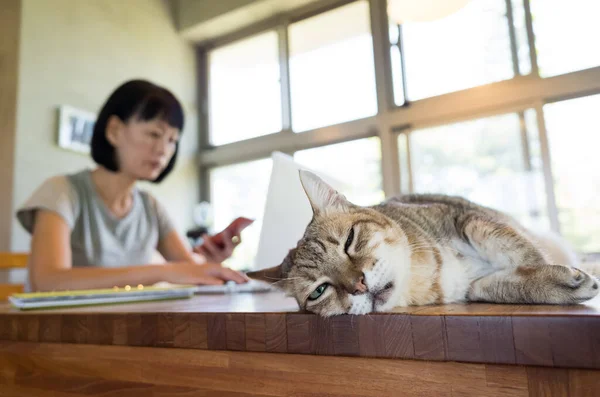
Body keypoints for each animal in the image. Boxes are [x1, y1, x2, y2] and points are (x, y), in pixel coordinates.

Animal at [246, 169, 596, 316]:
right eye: (319, 291)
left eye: (349, 241)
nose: (359, 285)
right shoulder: (472, 288)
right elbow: (504, 286)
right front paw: (555, 283)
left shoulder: (467, 219)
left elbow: (521, 252)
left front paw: (549, 270)